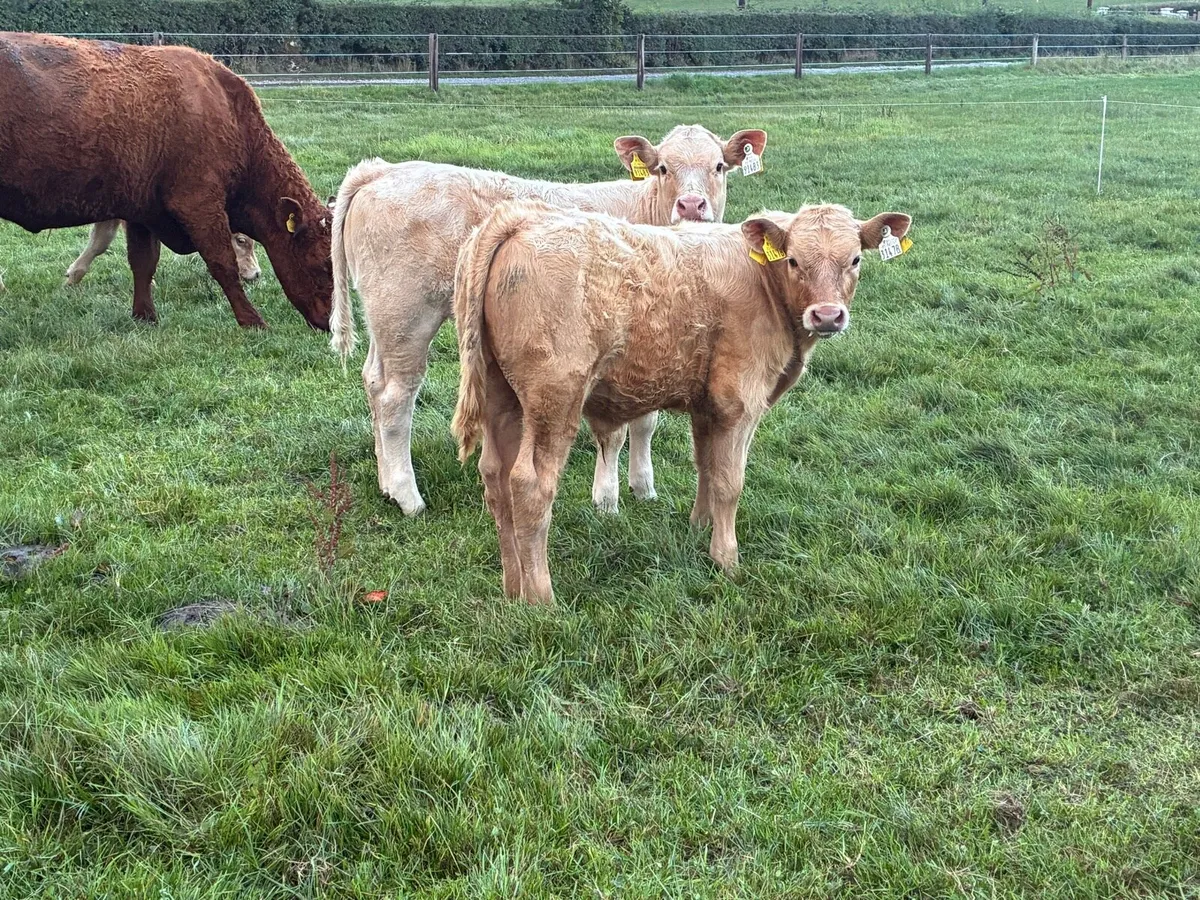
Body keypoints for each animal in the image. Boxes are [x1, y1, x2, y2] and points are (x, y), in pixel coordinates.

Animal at [329, 125, 769, 516]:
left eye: (718, 166)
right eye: (662, 168)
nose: (691, 205)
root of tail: (381, 170)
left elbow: (646, 421)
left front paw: (643, 487)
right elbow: (617, 430)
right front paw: (607, 500)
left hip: (384, 318)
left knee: (374, 382)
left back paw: (386, 484)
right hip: (407, 313)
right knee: (396, 397)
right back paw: (408, 497)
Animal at [451, 200, 912, 604]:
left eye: (855, 260)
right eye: (795, 261)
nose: (827, 315)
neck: (764, 283)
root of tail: (520, 218)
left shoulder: (709, 405)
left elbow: (706, 465)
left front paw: (699, 527)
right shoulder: (740, 403)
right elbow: (730, 481)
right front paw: (726, 559)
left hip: (501, 397)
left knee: (495, 478)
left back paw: (513, 588)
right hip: (553, 401)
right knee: (530, 485)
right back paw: (541, 598)